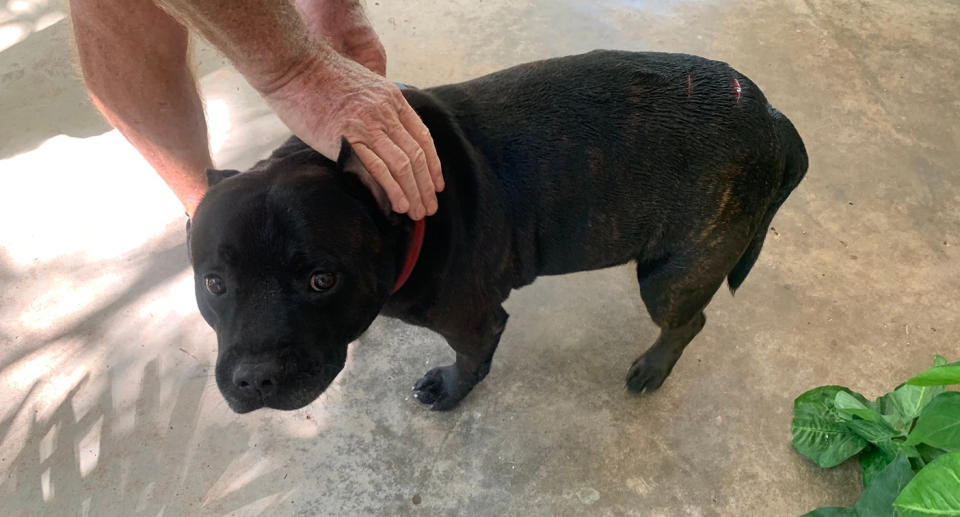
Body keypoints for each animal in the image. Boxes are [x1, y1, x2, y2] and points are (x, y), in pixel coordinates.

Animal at [188, 50, 804, 414]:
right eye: (213, 285)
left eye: (321, 279)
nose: (254, 380)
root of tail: (771, 116)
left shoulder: (473, 321)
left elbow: (469, 359)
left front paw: (450, 389)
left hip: (671, 278)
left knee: (687, 322)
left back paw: (653, 367)